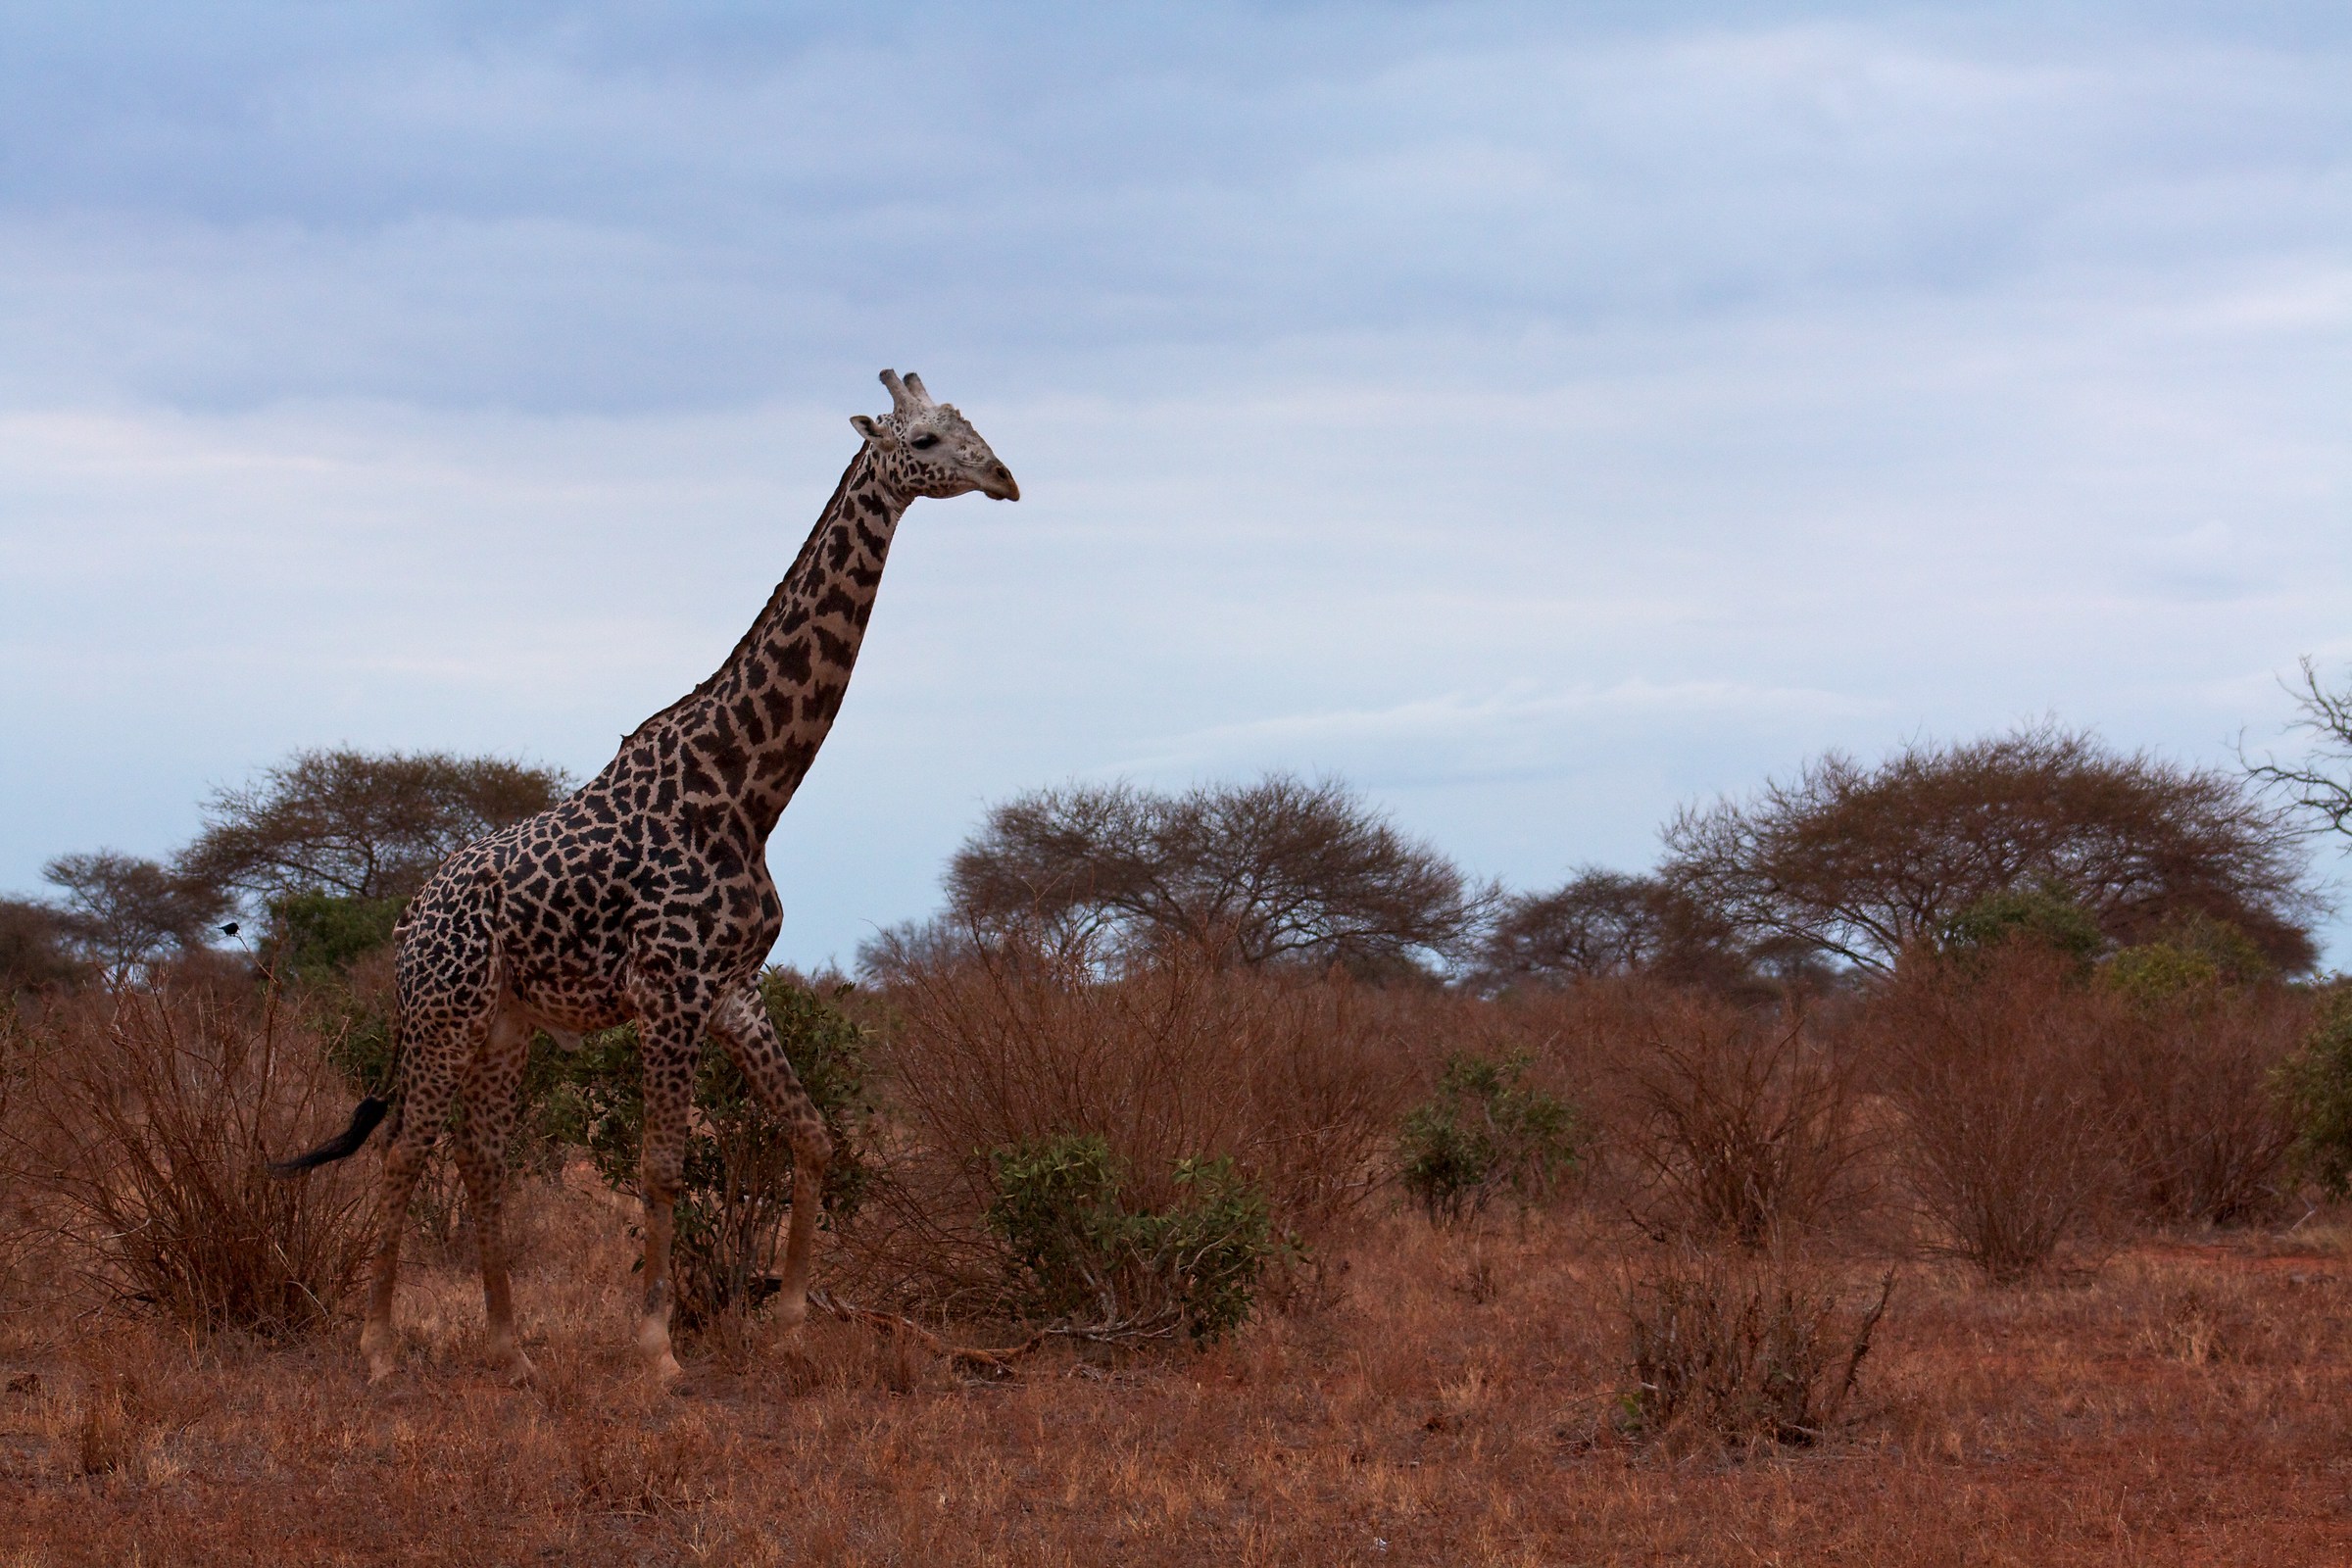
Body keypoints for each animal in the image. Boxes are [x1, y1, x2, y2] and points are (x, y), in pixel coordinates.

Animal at [274, 370, 1019, 1385]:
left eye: (971, 425)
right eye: (930, 439)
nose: (1005, 478)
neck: (747, 789)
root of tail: (408, 917)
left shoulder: (733, 986)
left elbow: (812, 1133)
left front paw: (790, 1327)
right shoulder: (671, 988)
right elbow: (663, 1165)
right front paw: (657, 1351)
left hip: (506, 1023)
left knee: (481, 1156)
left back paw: (510, 1348)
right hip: (443, 1013)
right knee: (403, 1148)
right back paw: (382, 1347)